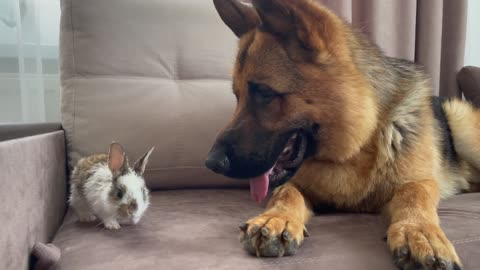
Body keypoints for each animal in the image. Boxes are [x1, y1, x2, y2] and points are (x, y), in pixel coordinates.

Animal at [204, 1, 478, 268]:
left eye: (264, 92)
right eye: (237, 96)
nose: (211, 163)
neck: (357, 147)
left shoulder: (420, 181)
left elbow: (414, 194)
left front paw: (418, 231)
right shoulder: (297, 183)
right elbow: (286, 192)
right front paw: (275, 217)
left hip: (462, 127)